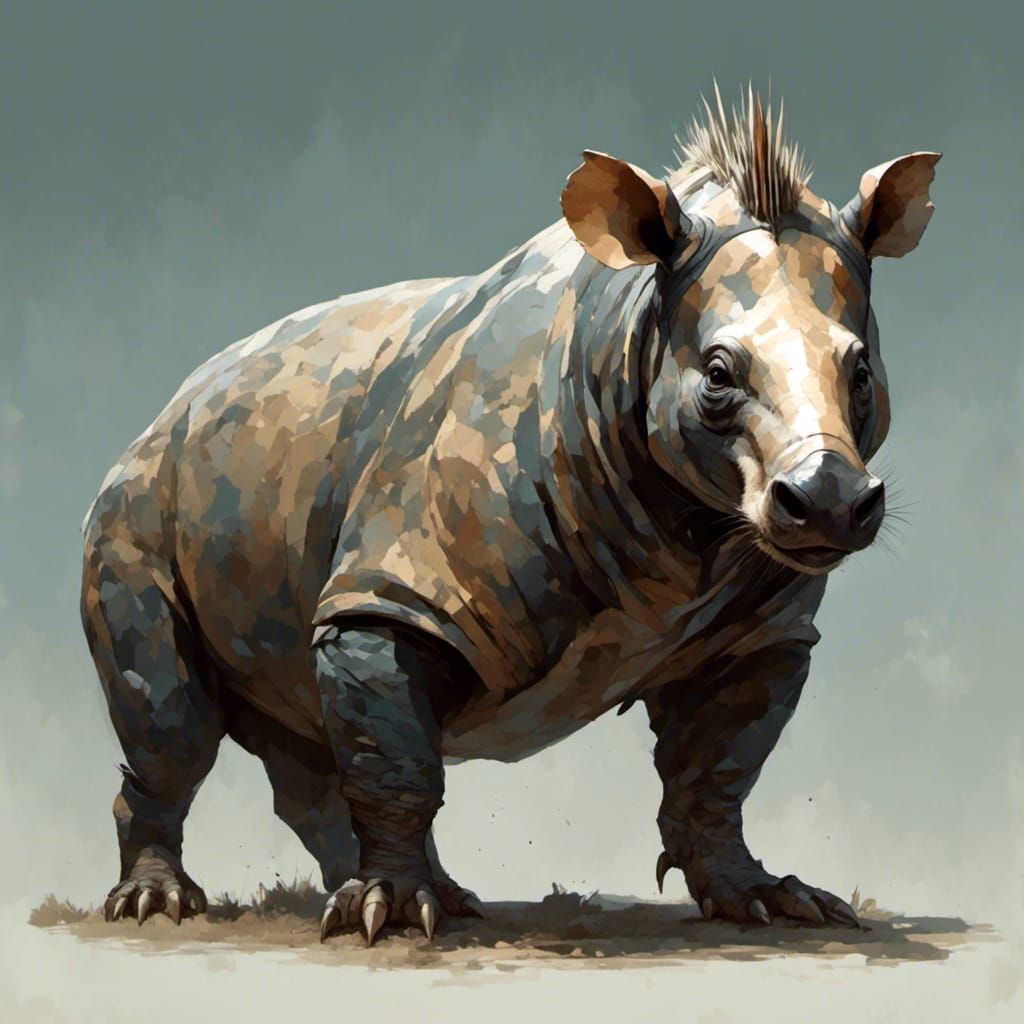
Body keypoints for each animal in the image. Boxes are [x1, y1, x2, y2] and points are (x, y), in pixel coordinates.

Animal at [81, 88, 939, 944]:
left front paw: (764, 899)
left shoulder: (761, 626)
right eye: (719, 375)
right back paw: (164, 905)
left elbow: (718, 771)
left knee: (308, 729)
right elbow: (398, 762)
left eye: (863, 373)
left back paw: (430, 894)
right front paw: (391, 913)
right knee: (173, 725)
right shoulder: (399, 586)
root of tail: (166, 409)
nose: (828, 502)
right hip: (133, 508)